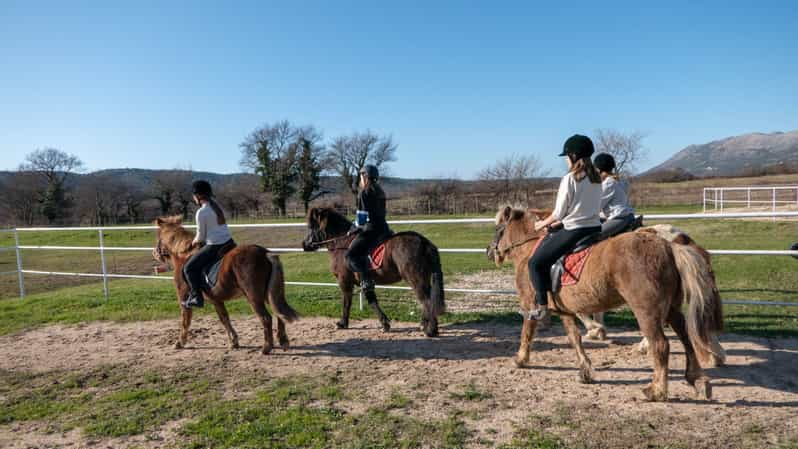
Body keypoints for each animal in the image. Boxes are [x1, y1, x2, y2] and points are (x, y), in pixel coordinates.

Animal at [152, 216, 298, 354]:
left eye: (158, 236)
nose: (155, 253)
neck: (183, 256)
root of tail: (264, 253)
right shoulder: (216, 300)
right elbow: (224, 319)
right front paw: (233, 342)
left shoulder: (183, 298)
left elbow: (185, 321)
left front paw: (179, 343)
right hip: (268, 294)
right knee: (278, 314)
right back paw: (283, 342)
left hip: (254, 297)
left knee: (266, 318)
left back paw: (266, 348)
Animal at [304, 206, 446, 336]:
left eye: (312, 227)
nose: (304, 245)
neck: (341, 244)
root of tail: (423, 242)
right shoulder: (365, 282)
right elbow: (372, 301)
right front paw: (385, 324)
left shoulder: (344, 281)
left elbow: (346, 302)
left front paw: (342, 323)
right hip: (423, 279)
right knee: (427, 301)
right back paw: (424, 325)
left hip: (415, 279)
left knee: (427, 301)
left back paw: (430, 330)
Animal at [488, 206, 724, 400]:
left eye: (498, 228)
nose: (490, 251)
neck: (530, 249)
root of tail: (669, 245)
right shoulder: (566, 310)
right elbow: (574, 338)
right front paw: (585, 370)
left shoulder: (530, 303)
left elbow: (527, 332)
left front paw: (520, 359)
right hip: (672, 309)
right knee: (686, 338)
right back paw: (699, 377)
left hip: (647, 311)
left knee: (661, 344)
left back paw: (657, 390)